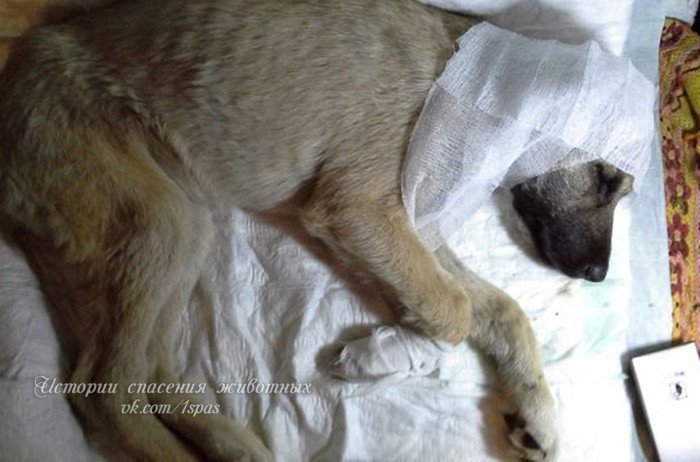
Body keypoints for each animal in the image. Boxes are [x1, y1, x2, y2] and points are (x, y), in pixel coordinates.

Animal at [0, 0, 634, 460]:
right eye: (605, 181)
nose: (599, 275)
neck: (484, 97)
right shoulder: (358, 209)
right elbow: (453, 312)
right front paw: (399, 343)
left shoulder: (413, 233)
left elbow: (501, 311)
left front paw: (536, 412)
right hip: (160, 225)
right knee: (103, 391)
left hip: (179, 226)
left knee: (144, 374)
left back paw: (233, 446)